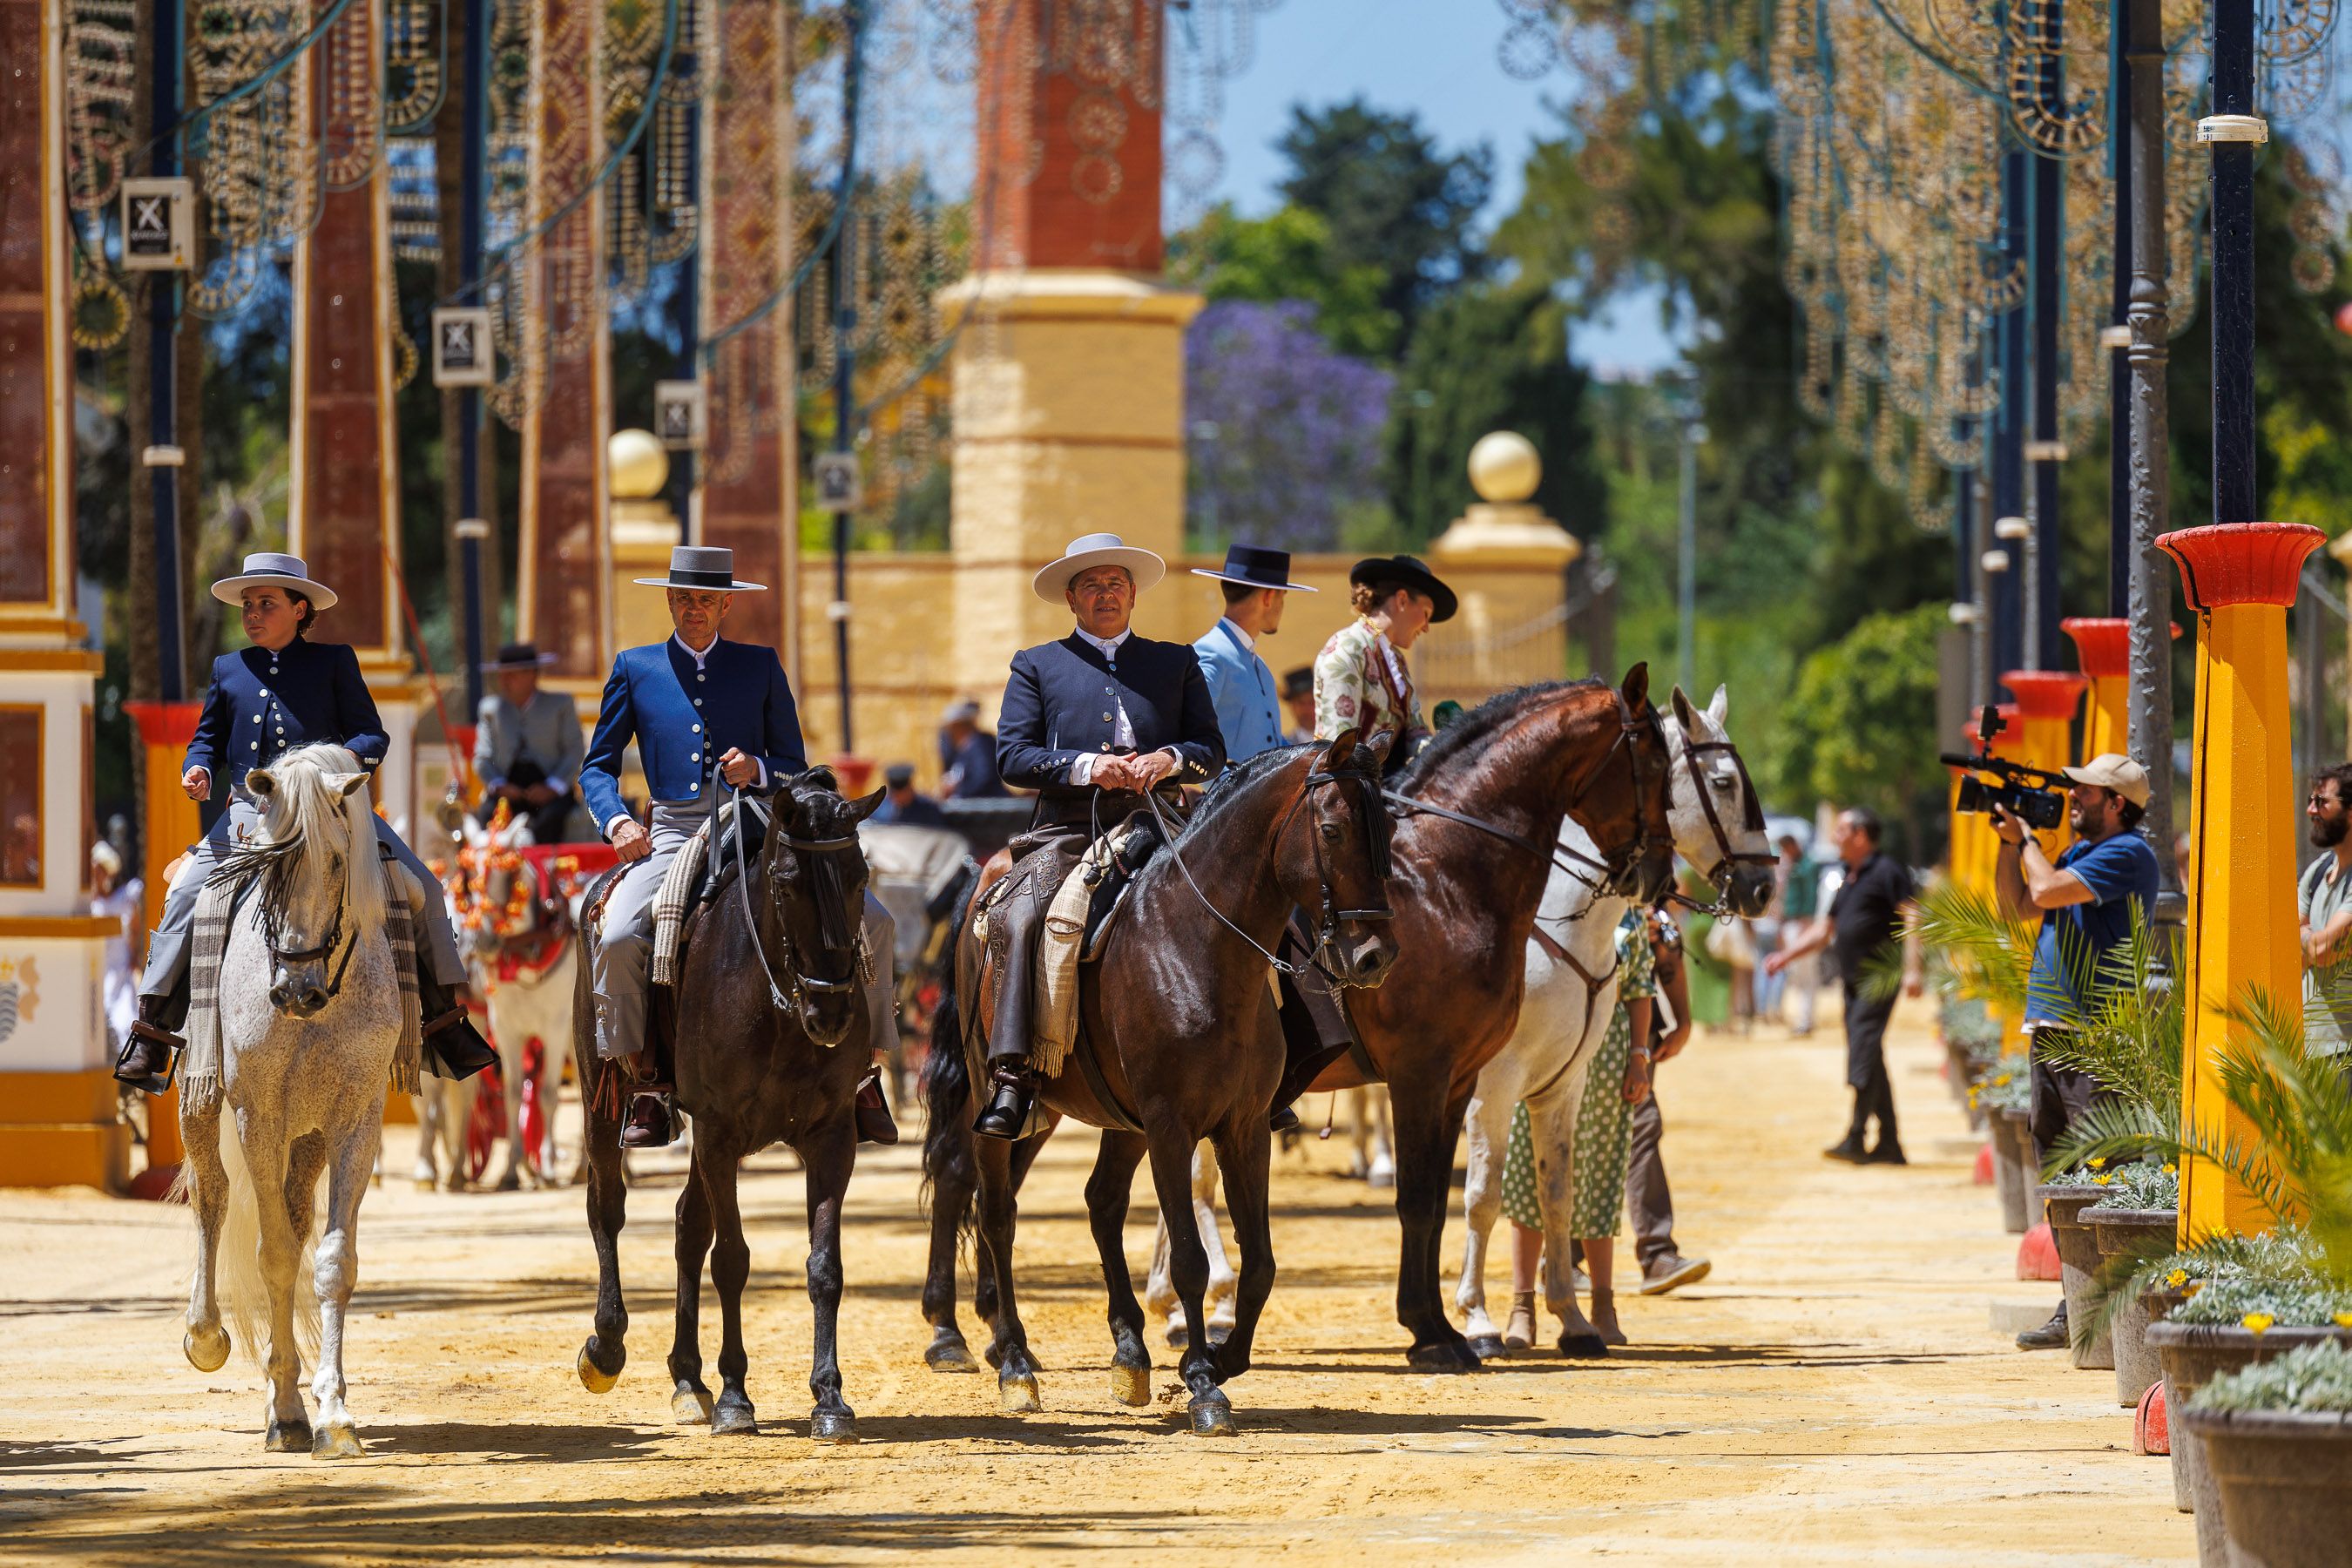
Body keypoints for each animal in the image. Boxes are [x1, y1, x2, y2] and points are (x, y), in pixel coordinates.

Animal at [174, 743, 406, 1458]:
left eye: (336, 860)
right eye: (270, 865)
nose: (296, 991)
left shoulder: (356, 1123)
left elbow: (331, 1262)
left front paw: (333, 1412)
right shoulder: (258, 1118)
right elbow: (273, 1255)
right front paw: (286, 1407)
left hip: (306, 1141)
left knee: (297, 1217)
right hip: (203, 1106)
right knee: (213, 1198)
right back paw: (206, 1335)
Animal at [575, 768, 885, 1441]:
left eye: (861, 877)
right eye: (789, 883)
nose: (832, 1014)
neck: (778, 1005)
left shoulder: (832, 1137)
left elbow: (824, 1265)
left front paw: (829, 1398)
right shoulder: (718, 1133)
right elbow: (733, 1260)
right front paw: (737, 1397)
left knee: (687, 1224)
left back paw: (688, 1380)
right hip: (600, 1097)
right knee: (608, 1208)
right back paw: (607, 1347)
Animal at [919, 729, 1404, 1435]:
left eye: (1387, 828)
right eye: (1334, 829)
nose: (1375, 958)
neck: (1197, 949)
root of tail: (990, 874)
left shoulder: (1243, 1127)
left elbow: (1261, 1259)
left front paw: (1223, 1359)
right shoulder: (1172, 1126)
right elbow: (1191, 1260)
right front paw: (1203, 1381)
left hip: (1095, 1116)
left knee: (1099, 1201)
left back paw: (1127, 1353)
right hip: (1000, 1101)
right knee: (995, 1209)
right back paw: (1012, 1363)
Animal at [1455, 685, 1776, 1357]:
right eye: (1725, 782)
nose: (1763, 887)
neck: (1546, 922)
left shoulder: (1562, 1083)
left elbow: (1556, 1194)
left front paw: (1573, 1320)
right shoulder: (1492, 1084)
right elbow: (1483, 1196)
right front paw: (1478, 1319)